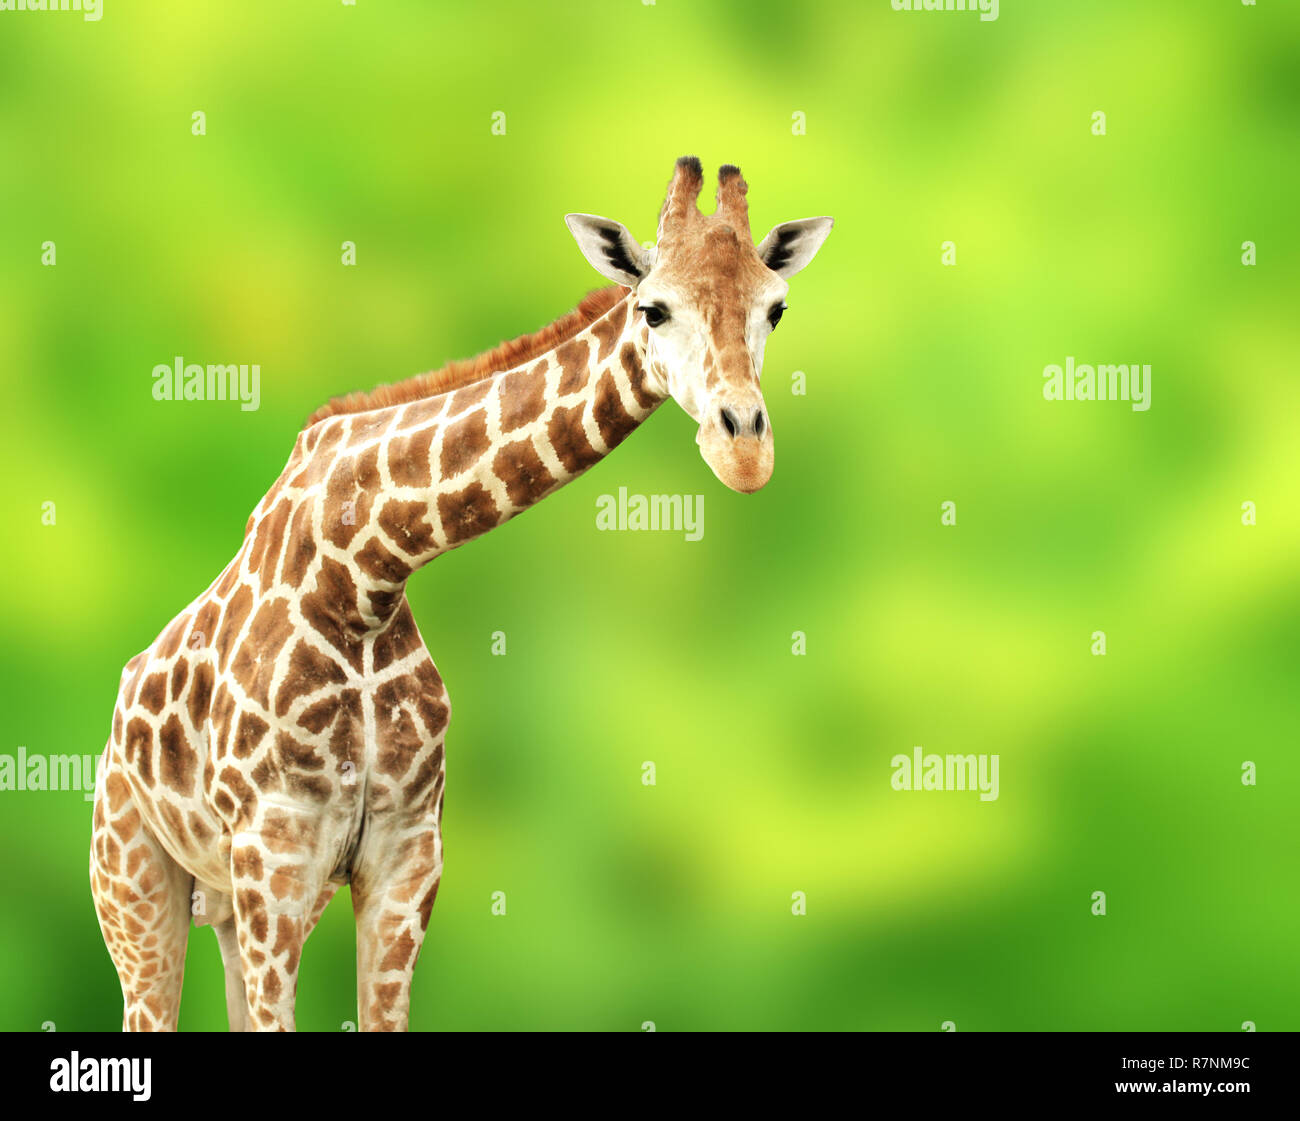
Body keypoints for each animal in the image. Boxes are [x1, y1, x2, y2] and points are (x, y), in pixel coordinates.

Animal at [90, 156, 833, 1031]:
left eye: (775, 308)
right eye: (653, 308)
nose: (744, 452)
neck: (363, 573)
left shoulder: (407, 856)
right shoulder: (275, 855)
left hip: (231, 906)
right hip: (136, 880)